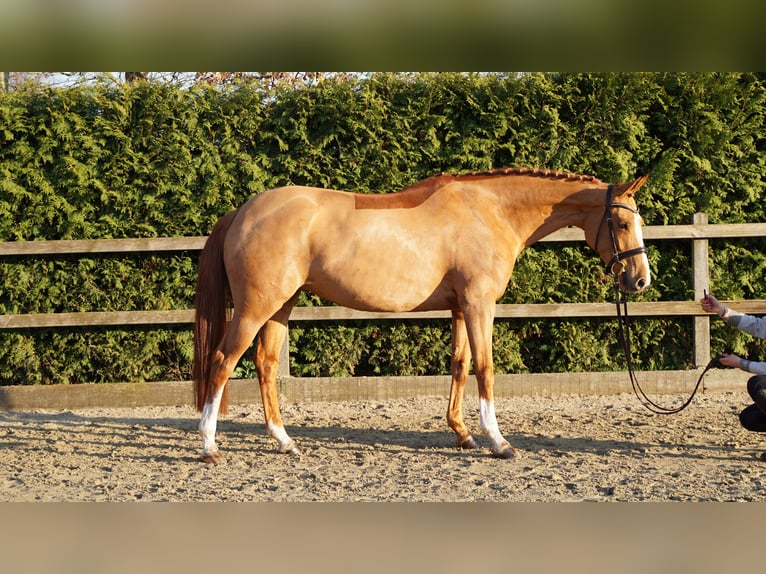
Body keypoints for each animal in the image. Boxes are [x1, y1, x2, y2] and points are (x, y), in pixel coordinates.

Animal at [192, 167, 651, 463]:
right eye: (620, 222)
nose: (640, 279)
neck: (489, 210)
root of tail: (242, 212)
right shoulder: (480, 303)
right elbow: (485, 369)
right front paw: (498, 442)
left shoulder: (460, 307)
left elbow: (460, 366)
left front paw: (463, 434)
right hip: (256, 308)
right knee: (222, 361)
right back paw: (210, 447)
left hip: (280, 307)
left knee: (265, 365)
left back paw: (285, 441)